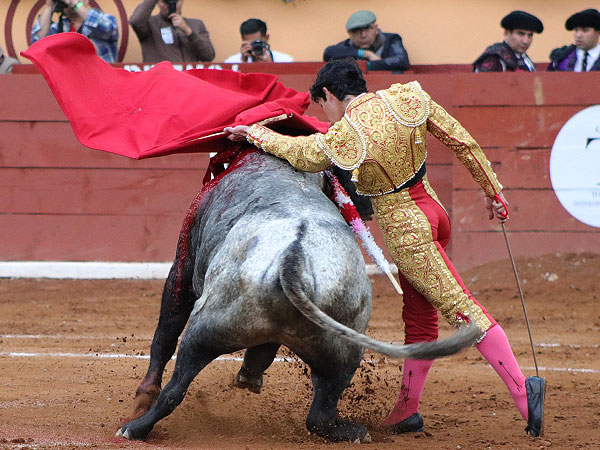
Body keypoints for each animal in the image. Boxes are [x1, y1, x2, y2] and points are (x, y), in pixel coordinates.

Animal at [117, 148, 480, 443]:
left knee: (176, 384)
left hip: (207, 326)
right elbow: (262, 349)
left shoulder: (184, 259)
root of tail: (294, 258)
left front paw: (143, 394)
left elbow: (167, 326)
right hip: (342, 349)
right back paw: (351, 430)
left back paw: (135, 426)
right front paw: (250, 377)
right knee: (320, 414)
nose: (367, 206)